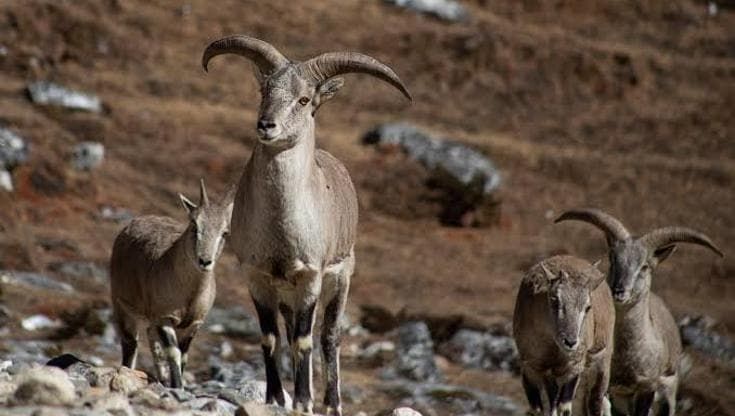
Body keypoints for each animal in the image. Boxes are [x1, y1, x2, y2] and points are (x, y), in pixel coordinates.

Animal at [109, 180, 233, 388]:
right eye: (194, 225)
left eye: (224, 232)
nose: (204, 261)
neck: (190, 293)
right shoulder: (164, 316)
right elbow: (173, 353)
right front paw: (178, 386)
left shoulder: (192, 325)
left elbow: (183, 356)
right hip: (122, 306)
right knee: (130, 343)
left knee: (151, 338)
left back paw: (161, 379)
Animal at [201, 35, 411, 415]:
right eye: (264, 90)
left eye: (304, 99)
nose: (266, 125)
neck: (280, 229)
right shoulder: (257, 277)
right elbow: (270, 337)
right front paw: (274, 397)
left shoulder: (310, 276)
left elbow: (303, 341)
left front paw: (301, 400)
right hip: (287, 294)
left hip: (340, 278)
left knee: (327, 336)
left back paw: (330, 403)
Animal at [513, 255, 615, 416]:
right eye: (554, 300)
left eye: (587, 307)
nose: (570, 342)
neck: (552, 346)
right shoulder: (530, 367)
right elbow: (537, 410)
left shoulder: (573, 368)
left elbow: (564, 408)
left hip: (602, 362)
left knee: (596, 400)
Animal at [555, 208, 724, 415]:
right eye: (613, 258)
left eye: (644, 266)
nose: (618, 290)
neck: (626, 358)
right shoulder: (602, 385)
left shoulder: (647, 387)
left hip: (667, 390)